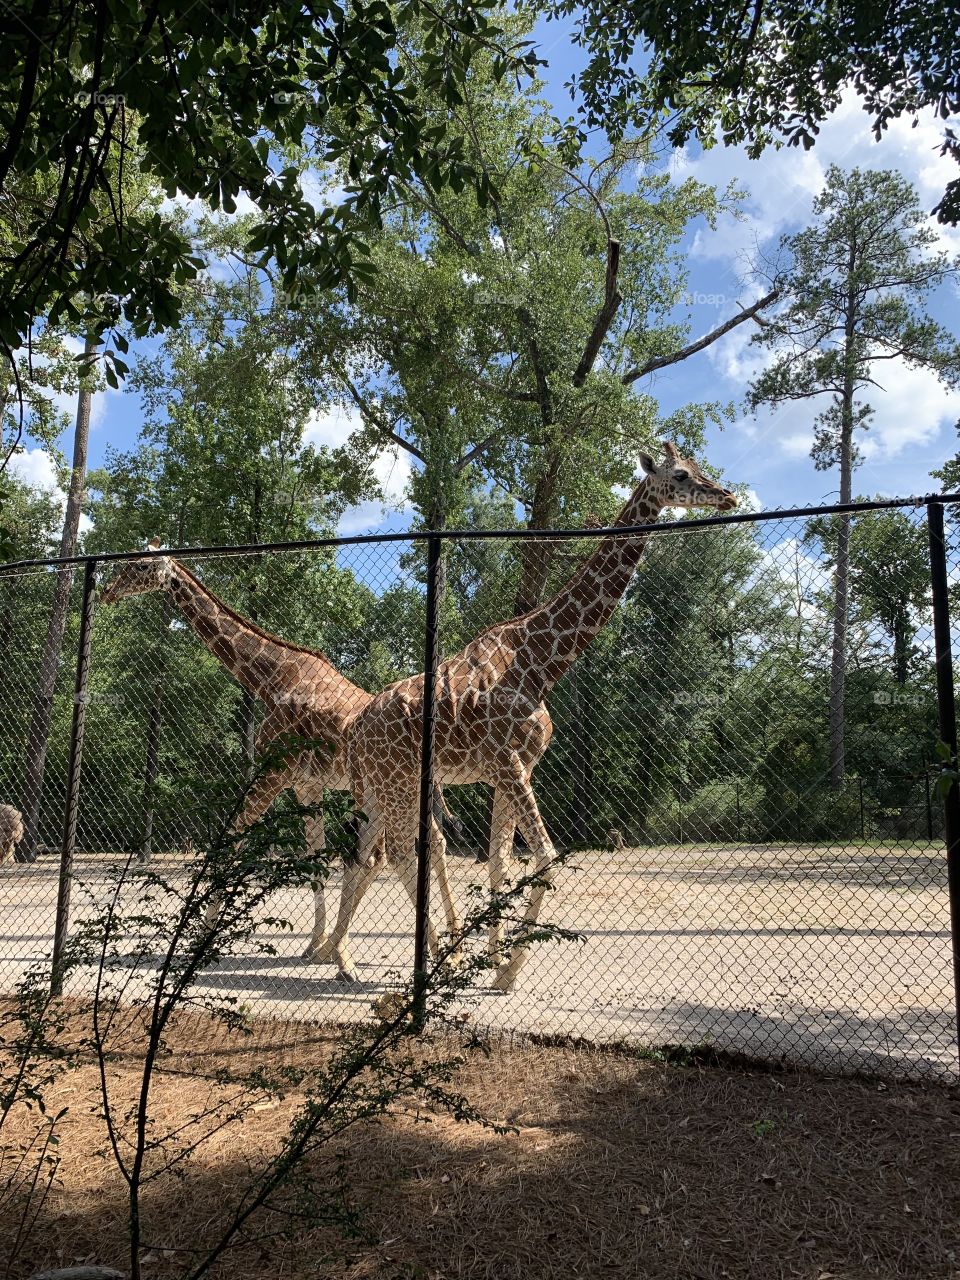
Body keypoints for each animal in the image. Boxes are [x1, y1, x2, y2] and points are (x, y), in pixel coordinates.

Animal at [99, 548, 462, 971]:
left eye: (139, 567)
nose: (108, 591)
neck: (270, 677)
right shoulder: (305, 784)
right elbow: (313, 854)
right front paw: (314, 944)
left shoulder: (275, 773)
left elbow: (232, 841)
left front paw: (201, 936)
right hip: (406, 793)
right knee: (428, 843)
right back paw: (442, 940)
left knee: (385, 854)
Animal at [330, 443, 738, 989]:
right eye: (679, 475)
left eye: (698, 467)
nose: (727, 495)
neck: (539, 664)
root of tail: (355, 730)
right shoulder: (507, 764)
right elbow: (543, 857)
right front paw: (508, 972)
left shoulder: (515, 767)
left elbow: (499, 861)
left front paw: (493, 958)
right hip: (396, 782)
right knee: (397, 853)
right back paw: (429, 960)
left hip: (386, 785)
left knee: (369, 853)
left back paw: (344, 957)